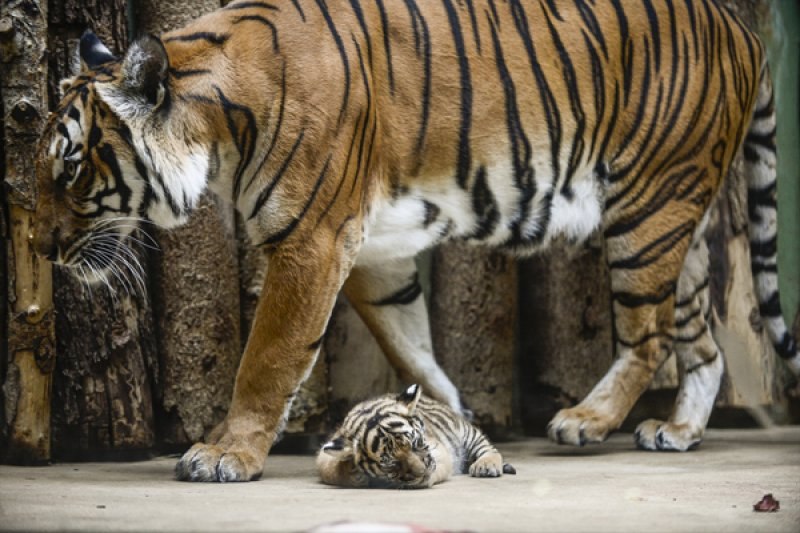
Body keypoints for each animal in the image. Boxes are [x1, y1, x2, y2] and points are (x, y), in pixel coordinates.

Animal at [32, 0, 800, 480]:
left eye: (69, 167)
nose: (40, 248)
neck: (217, 134)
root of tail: (741, 28)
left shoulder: (313, 243)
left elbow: (268, 360)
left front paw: (226, 455)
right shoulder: (379, 252)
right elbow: (413, 348)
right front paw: (444, 417)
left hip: (647, 212)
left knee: (652, 338)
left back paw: (583, 419)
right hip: (677, 223)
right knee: (702, 342)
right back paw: (677, 431)